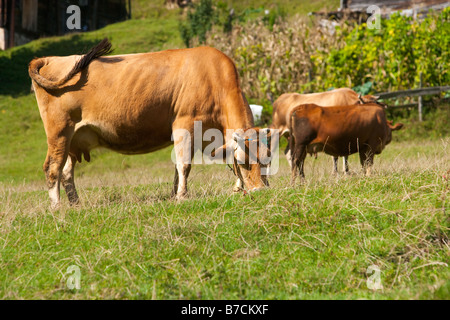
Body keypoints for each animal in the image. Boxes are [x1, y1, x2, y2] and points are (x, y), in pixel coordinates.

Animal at [29, 38, 272, 209]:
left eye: (268, 160)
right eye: (244, 162)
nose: (261, 191)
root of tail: (51, 58)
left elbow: (181, 167)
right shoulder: (184, 124)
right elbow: (184, 165)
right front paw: (182, 197)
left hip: (74, 139)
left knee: (66, 171)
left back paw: (76, 205)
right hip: (59, 131)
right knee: (52, 168)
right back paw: (58, 208)